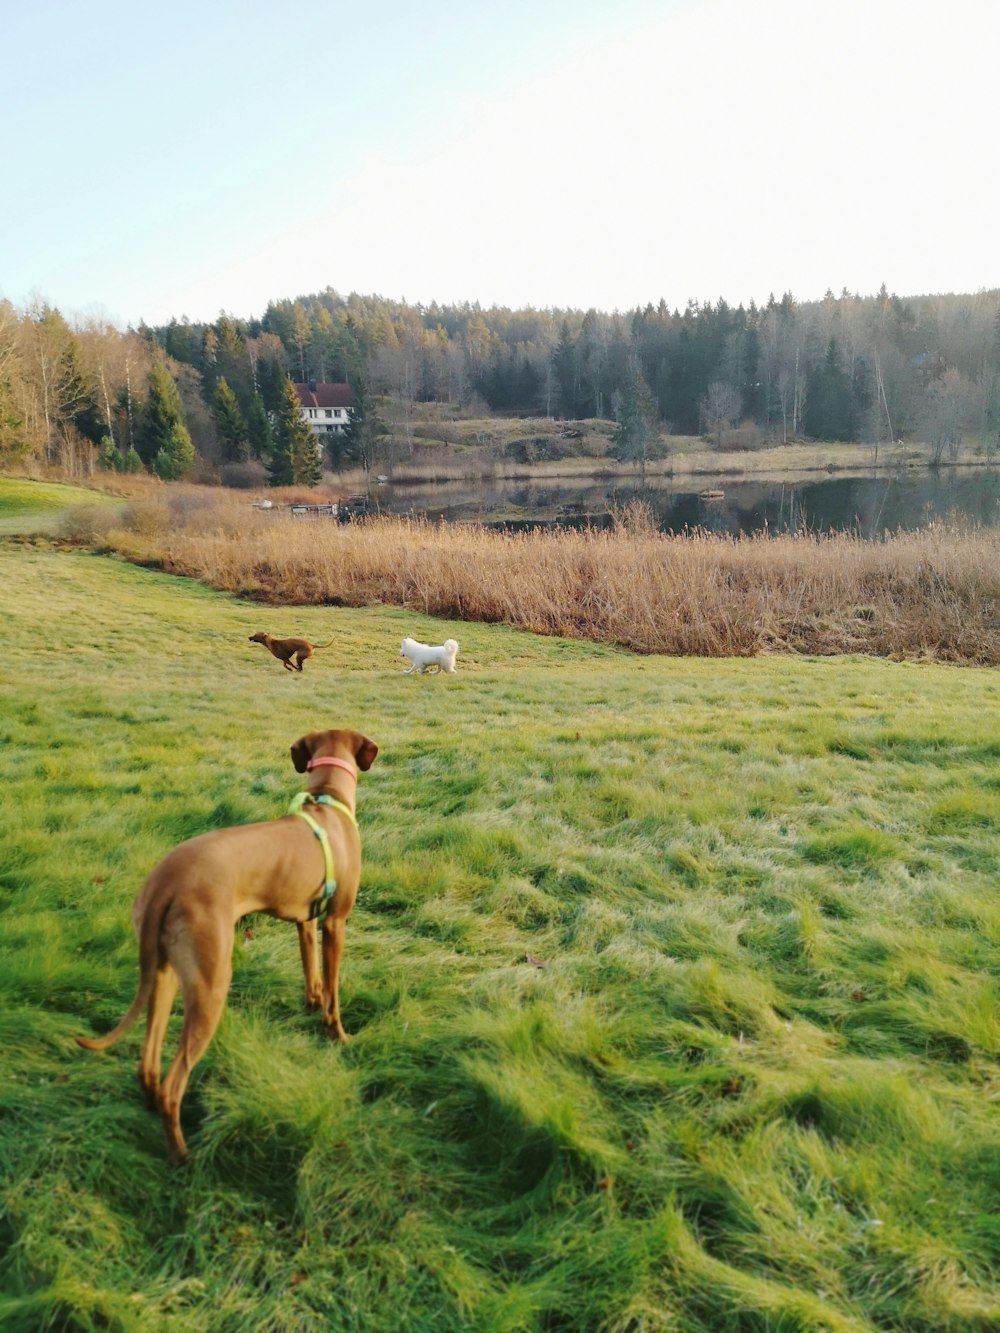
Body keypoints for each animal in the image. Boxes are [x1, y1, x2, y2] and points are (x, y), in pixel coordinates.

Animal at [75, 725, 378, 1162]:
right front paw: (338, 1035)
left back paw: (151, 1110)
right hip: (212, 982)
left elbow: (312, 974)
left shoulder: (305, 922)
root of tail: (166, 882)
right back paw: (182, 1157)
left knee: (148, 1064)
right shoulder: (336, 924)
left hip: (164, 974)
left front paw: (310, 1004)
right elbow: (334, 991)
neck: (328, 801)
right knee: (173, 1084)